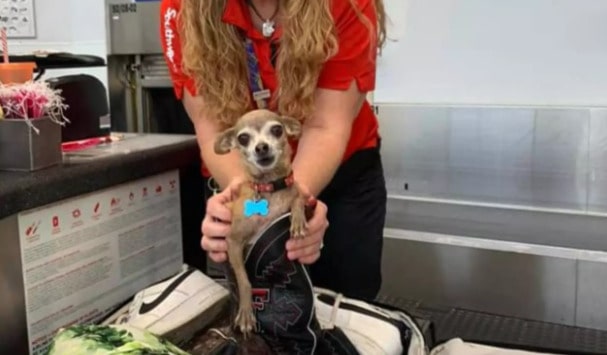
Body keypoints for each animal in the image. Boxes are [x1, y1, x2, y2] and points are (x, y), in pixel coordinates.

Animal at [214, 108, 308, 340]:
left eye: (277, 129)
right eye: (243, 138)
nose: (261, 147)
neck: (269, 188)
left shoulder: (293, 193)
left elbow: (297, 197)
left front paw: (298, 220)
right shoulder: (233, 242)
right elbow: (244, 281)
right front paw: (246, 313)